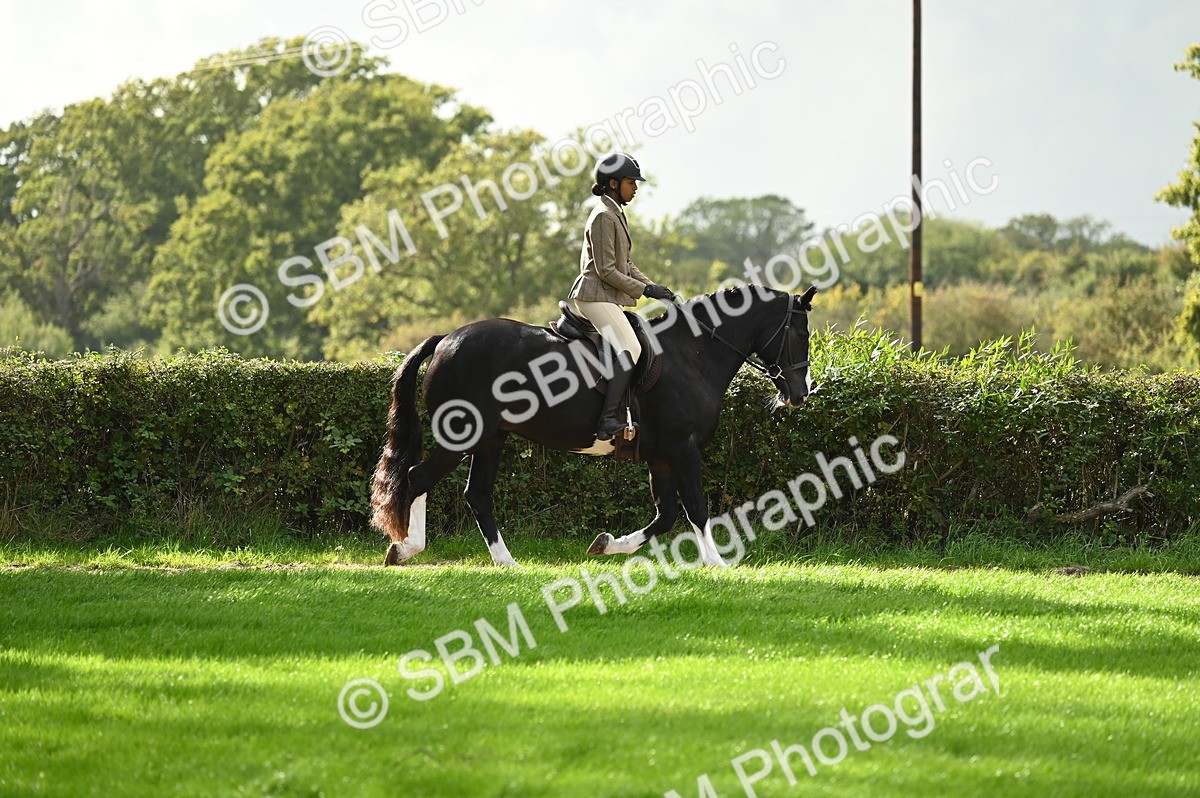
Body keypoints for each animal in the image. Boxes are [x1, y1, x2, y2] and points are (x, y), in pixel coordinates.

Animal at [370, 284, 818, 568]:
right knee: (418, 476)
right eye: (801, 335)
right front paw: (716, 562)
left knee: (476, 494)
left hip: (492, 439)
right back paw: (404, 549)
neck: (693, 353)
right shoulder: (682, 447)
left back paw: (506, 562)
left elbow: (666, 514)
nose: (800, 394)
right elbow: (696, 507)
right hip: (464, 435)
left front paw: (605, 545)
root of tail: (446, 339)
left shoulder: (660, 455)